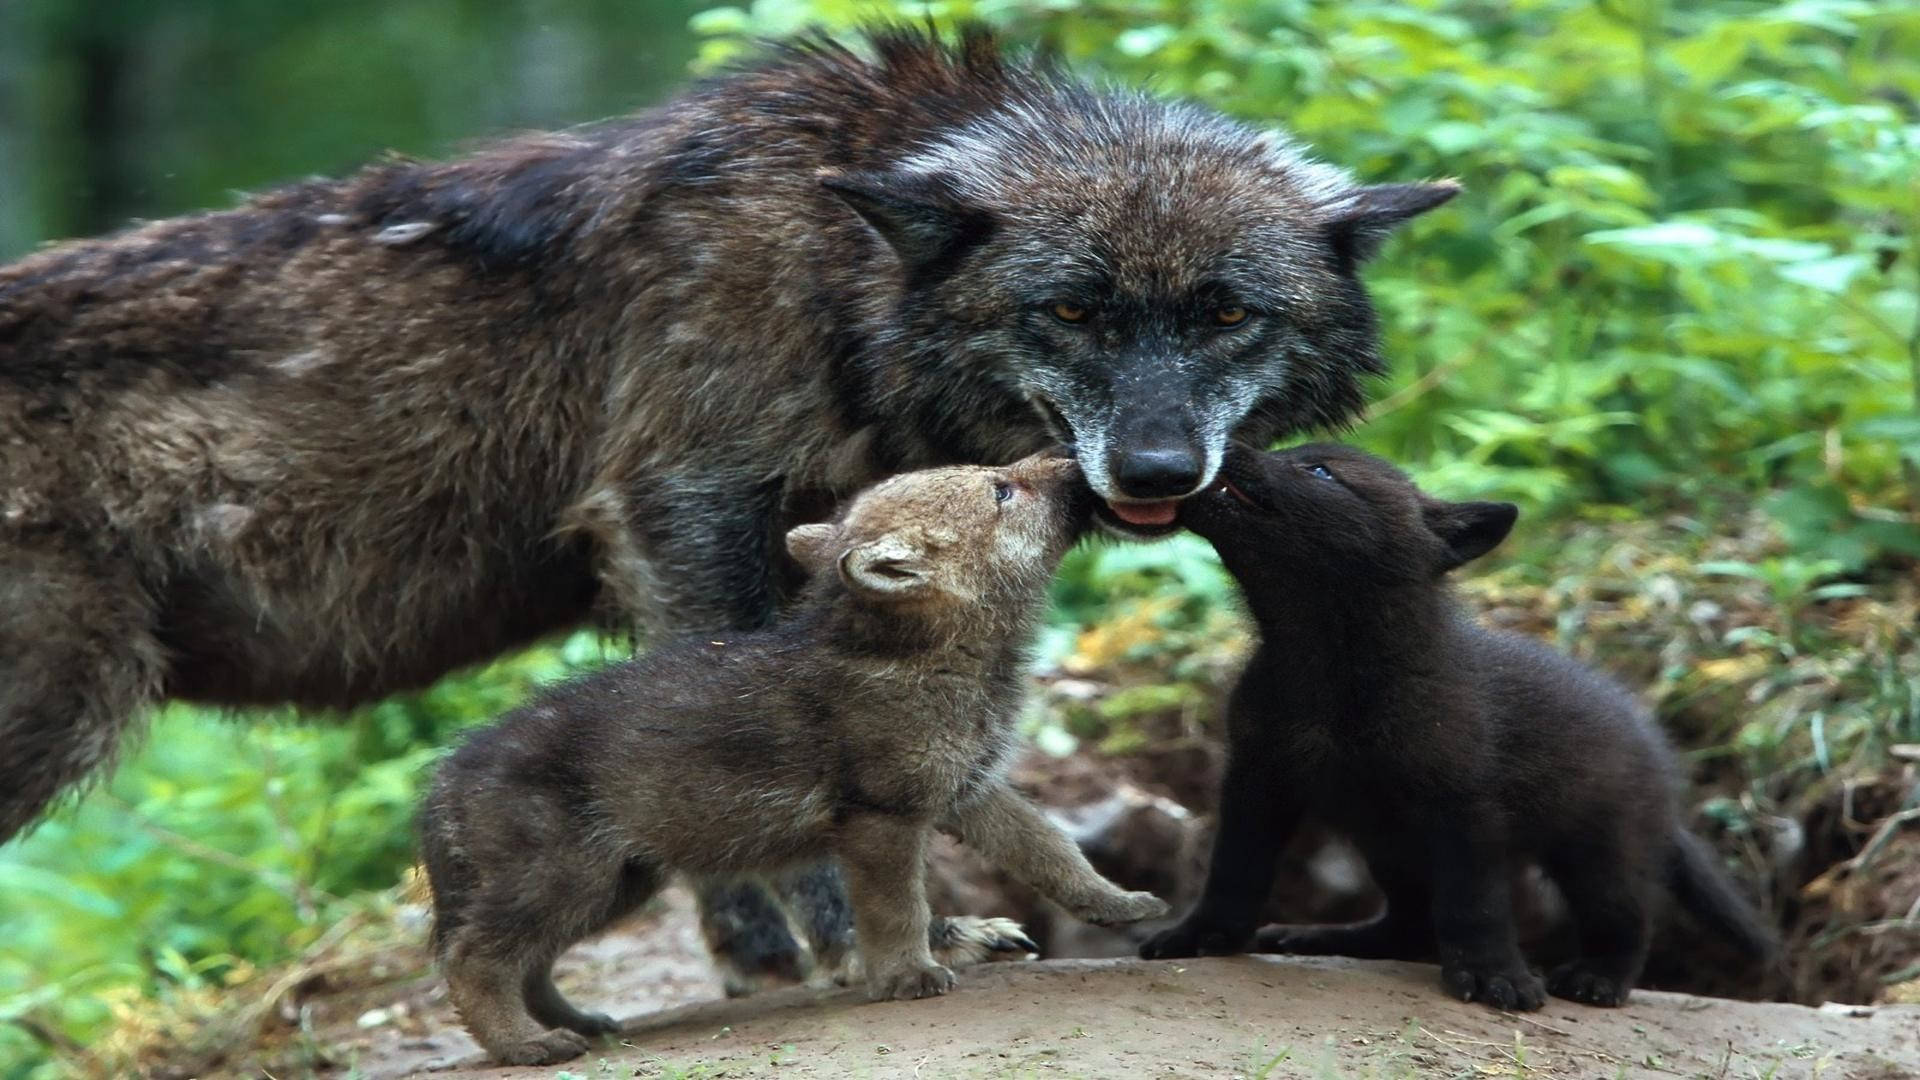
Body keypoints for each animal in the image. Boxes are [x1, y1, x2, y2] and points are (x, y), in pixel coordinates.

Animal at [0, 25, 1453, 987]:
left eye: (1225, 315)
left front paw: (767, 949)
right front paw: (850, 943)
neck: (835, 277)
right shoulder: (684, 514)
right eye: (1075, 313)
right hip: (61, 720)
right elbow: (756, 734)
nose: (1156, 471)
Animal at [421, 453, 1167, 1064]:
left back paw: (577, 1025)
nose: (1074, 459)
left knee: (528, 964)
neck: (929, 658)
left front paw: (1120, 903)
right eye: (1001, 490)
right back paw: (527, 1046)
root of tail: (442, 781)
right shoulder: (880, 819)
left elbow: (1054, 852)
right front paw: (908, 977)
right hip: (565, 877)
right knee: (473, 960)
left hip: (616, 882)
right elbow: (896, 907)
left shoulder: (971, 790)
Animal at [1138, 444, 1779, 1010]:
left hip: (1601, 849)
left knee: (1626, 919)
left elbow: (1477, 904)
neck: (1327, 667)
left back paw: (1599, 979)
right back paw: (1326, 938)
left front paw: (1495, 977)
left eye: (1319, 469)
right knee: (1408, 923)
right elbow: (1233, 872)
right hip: (1389, 843)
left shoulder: (1464, 806)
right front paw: (1201, 938)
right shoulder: (1257, 780)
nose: (1213, 450)